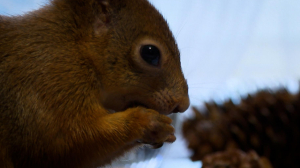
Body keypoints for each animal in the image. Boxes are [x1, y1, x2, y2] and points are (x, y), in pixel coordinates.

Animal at [0, 0, 190, 167]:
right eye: (150, 52)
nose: (183, 105)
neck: (75, 47)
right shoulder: (45, 81)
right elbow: (61, 143)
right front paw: (146, 121)